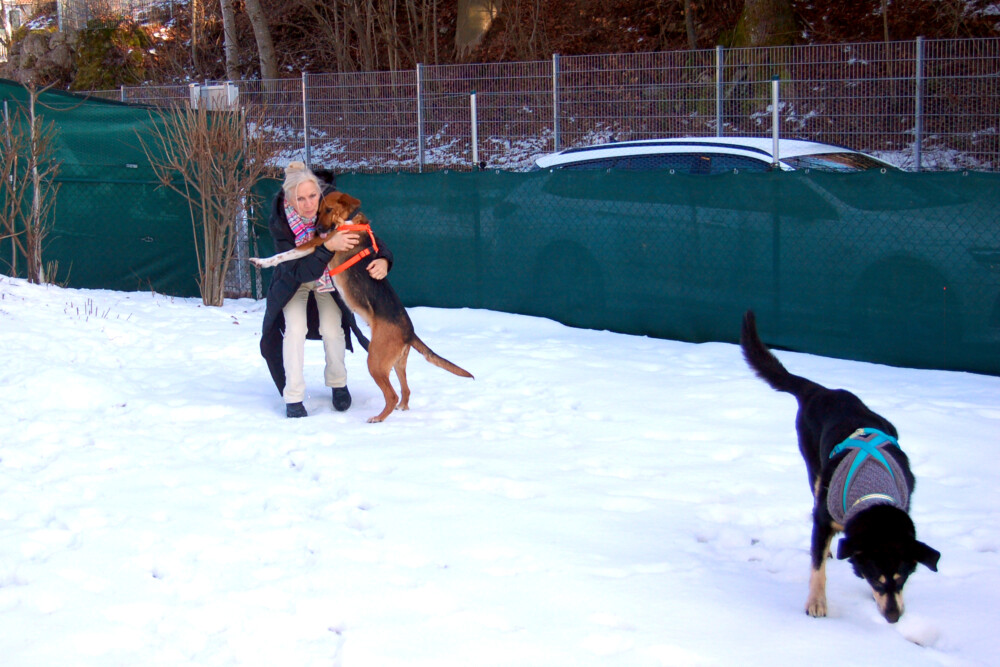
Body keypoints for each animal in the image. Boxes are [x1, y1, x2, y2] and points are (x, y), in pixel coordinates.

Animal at [739, 310, 939, 623]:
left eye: (904, 578)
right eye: (876, 578)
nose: (894, 617)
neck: (873, 489)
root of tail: (821, 391)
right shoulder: (822, 519)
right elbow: (817, 569)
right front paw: (816, 602)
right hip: (814, 467)